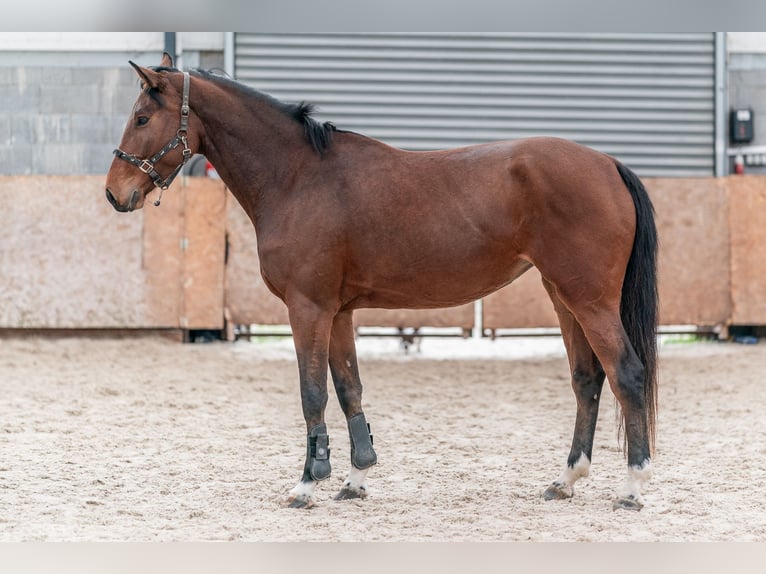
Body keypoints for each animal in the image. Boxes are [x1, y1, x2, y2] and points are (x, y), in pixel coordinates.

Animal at [105, 54, 664, 512]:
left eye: (142, 118)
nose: (115, 192)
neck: (298, 176)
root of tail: (608, 164)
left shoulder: (307, 309)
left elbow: (313, 394)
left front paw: (307, 484)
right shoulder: (339, 312)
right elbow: (349, 390)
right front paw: (355, 479)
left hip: (590, 301)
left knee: (627, 375)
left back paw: (632, 487)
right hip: (563, 296)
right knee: (587, 380)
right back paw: (566, 480)